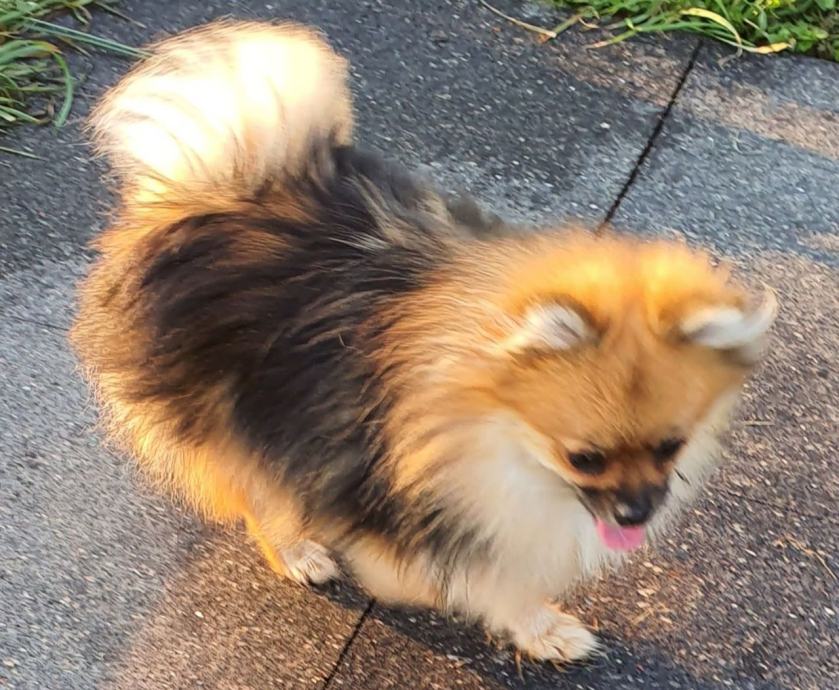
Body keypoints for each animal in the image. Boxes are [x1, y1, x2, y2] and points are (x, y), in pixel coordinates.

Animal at [71, 20, 776, 662]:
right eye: (584, 458)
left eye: (670, 446)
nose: (637, 514)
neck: (490, 437)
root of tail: (207, 185)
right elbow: (474, 575)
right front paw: (526, 619)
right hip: (229, 407)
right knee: (258, 490)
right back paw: (296, 550)